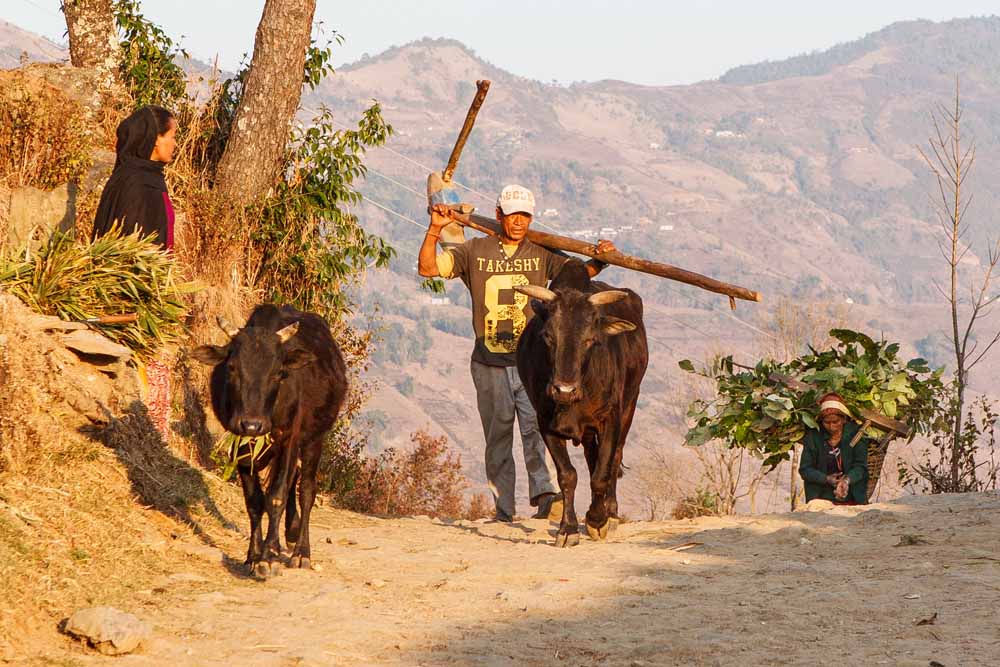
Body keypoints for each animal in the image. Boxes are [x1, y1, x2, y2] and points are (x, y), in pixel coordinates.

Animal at [192, 306, 348, 576]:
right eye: (232, 367)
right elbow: (254, 501)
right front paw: (253, 556)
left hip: (314, 439)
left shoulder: (289, 437)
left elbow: (276, 496)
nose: (252, 425)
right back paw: (291, 531)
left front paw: (269, 556)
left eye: (279, 373)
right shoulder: (241, 446)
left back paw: (301, 552)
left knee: (306, 489)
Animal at [516, 262, 648, 548]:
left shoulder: (611, 418)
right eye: (548, 336)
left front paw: (598, 520)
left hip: (630, 404)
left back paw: (611, 512)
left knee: (613, 458)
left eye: (591, 339)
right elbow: (568, 475)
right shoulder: (546, 424)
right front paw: (568, 528)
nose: (564, 390)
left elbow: (602, 473)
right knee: (591, 457)